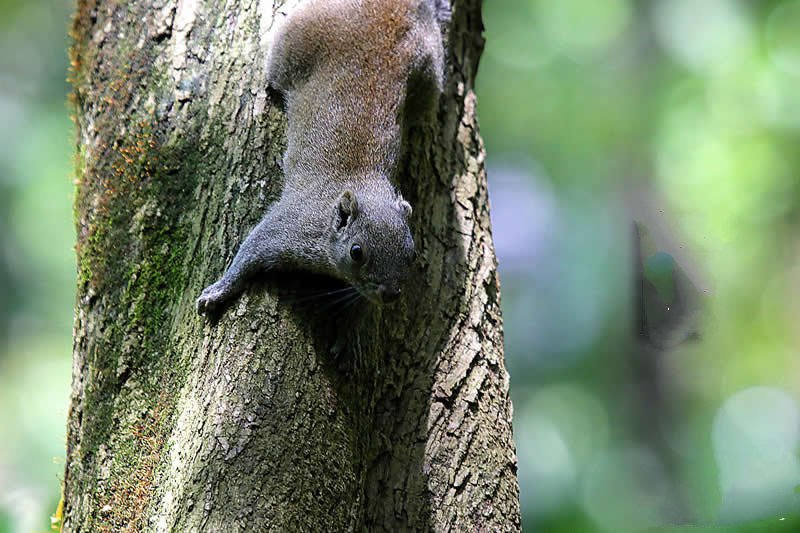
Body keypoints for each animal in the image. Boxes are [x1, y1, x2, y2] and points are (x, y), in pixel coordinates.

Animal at [198, 0, 450, 312]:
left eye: (411, 254)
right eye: (356, 252)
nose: (390, 294)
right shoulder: (291, 227)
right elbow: (250, 251)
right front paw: (219, 290)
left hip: (428, 75)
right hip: (295, 43)